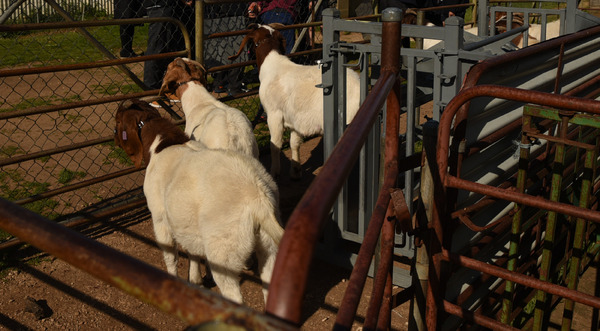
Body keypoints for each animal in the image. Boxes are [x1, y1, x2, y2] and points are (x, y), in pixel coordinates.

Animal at [115, 99, 284, 306]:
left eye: (117, 121)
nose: (115, 139)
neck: (161, 144)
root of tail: (259, 200)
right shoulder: (187, 223)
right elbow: (193, 252)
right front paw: (196, 280)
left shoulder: (160, 218)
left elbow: (170, 257)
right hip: (268, 246)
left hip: (223, 252)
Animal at [230, 23, 360, 180]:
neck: (272, 64)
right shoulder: (294, 119)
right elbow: (294, 143)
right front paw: (295, 171)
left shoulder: (274, 114)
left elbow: (275, 145)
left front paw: (274, 172)